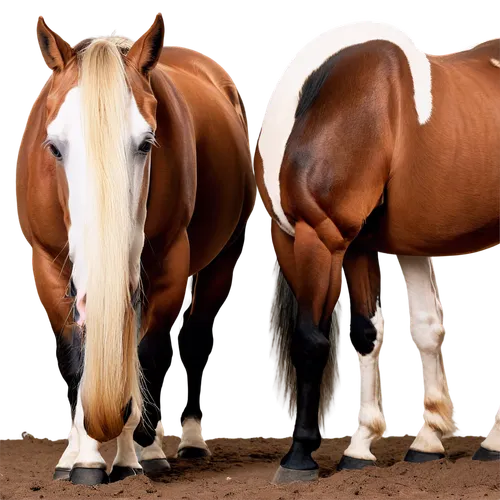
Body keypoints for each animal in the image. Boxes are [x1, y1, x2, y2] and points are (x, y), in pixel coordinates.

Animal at [16, 11, 258, 486]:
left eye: (146, 144)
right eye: (54, 147)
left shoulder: (167, 266)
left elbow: (149, 354)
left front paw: (138, 454)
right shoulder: (48, 267)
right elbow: (76, 357)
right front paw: (83, 459)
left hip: (223, 259)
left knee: (194, 342)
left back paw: (187, 441)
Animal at [254, 21, 500, 482]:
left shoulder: (322, 237)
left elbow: (310, 341)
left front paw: (300, 454)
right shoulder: (353, 246)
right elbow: (370, 332)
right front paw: (365, 447)